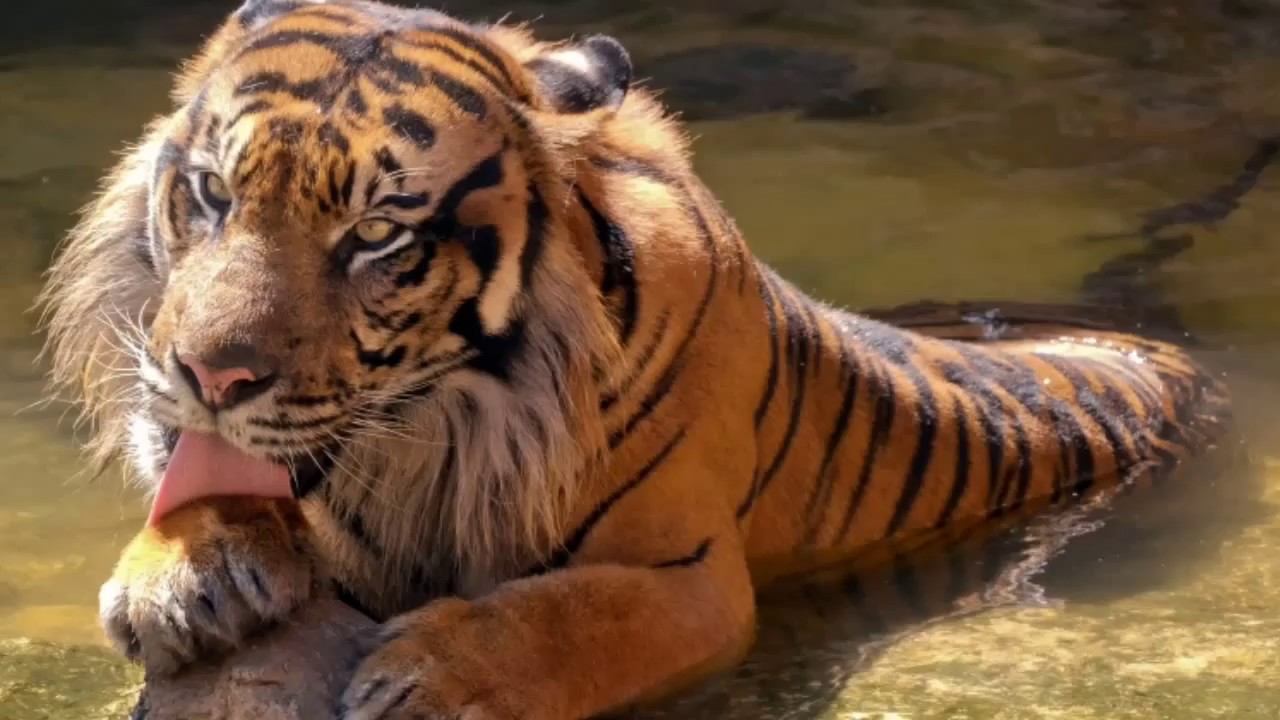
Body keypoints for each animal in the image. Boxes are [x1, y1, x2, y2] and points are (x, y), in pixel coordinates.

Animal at [37, 0, 1233, 718]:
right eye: (211, 194)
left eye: (375, 236)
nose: (209, 377)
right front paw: (182, 580)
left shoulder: (688, 576)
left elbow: (563, 617)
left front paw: (430, 677)